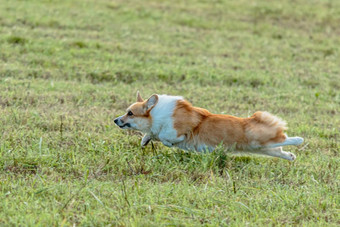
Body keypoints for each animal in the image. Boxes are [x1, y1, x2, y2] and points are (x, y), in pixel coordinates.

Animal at [114, 91, 302, 160]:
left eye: (130, 113)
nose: (115, 120)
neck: (155, 114)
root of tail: (253, 119)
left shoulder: (176, 130)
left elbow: (165, 137)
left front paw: (169, 143)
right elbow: (151, 135)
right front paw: (144, 141)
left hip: (259, 141)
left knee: (285, 138)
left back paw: (299, 140)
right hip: (261, 148)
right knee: (280, 150)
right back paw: (291, 156)